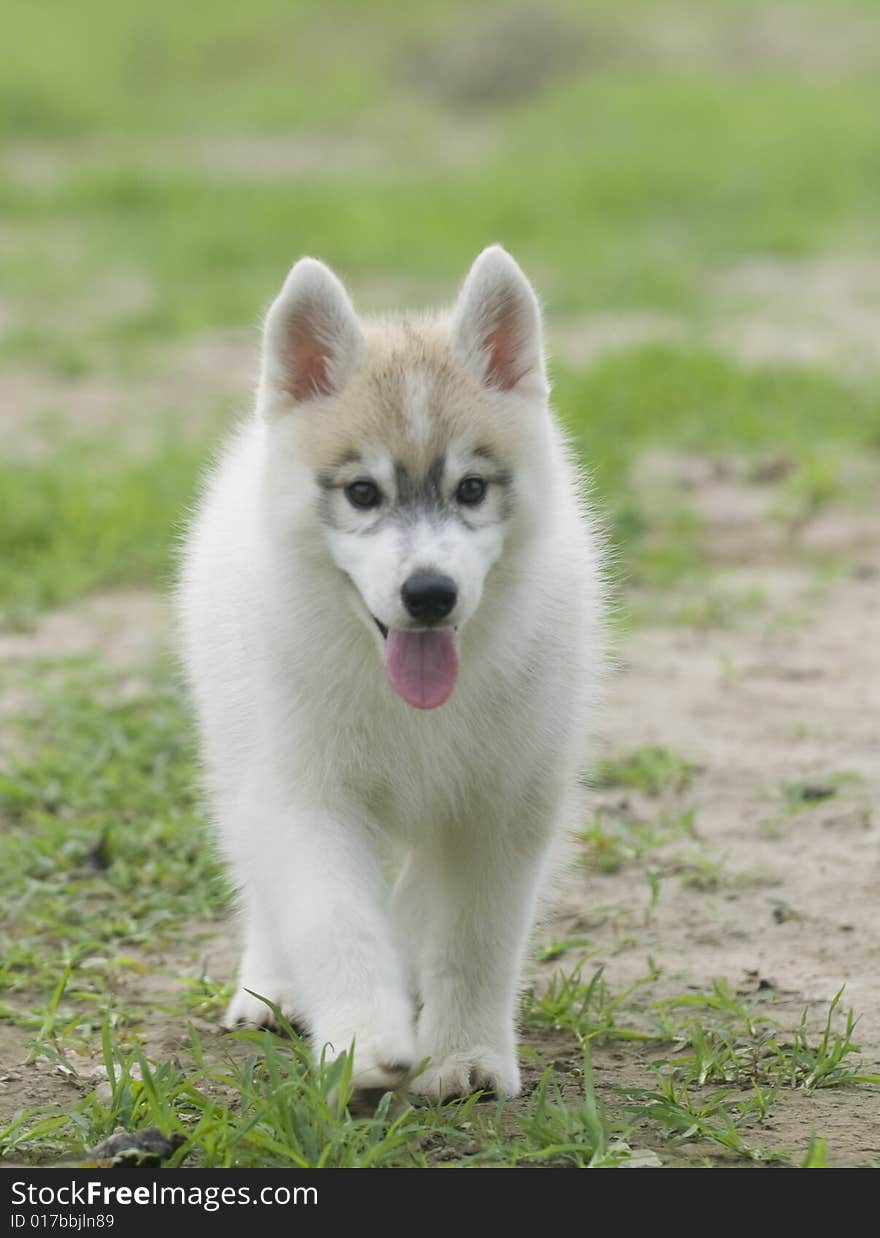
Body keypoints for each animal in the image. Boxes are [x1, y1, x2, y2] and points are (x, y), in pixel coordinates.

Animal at [175, 246, 601, 1099]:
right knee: (264, 880)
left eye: (471, 489)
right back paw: (270, 987)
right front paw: (364, 1042)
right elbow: (334, 919)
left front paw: (465, 1055)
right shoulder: (303, 792)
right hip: (238, 751)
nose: (429, 594)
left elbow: (474, 938)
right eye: (363, 493)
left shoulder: (505, 803)